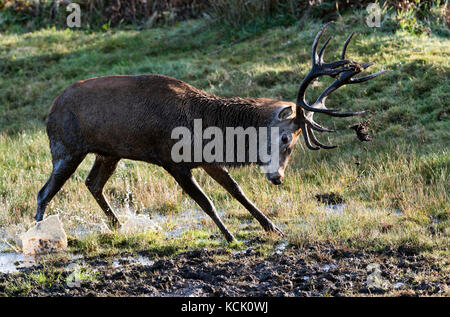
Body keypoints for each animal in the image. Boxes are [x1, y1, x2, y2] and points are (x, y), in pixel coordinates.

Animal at [36, 23, 386, 242]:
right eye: (286, 137)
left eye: (296, 144)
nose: (278, 178)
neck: (207, 126)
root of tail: (50, 109)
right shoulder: (172, 160)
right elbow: (205, 201)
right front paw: (229, 235)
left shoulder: (208, 159)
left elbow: (237, 191)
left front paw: (273, 228)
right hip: (66, 147)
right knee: (44, 192)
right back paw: (37, 235)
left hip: (109, 152)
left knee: (92, 183)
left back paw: (118, 225)